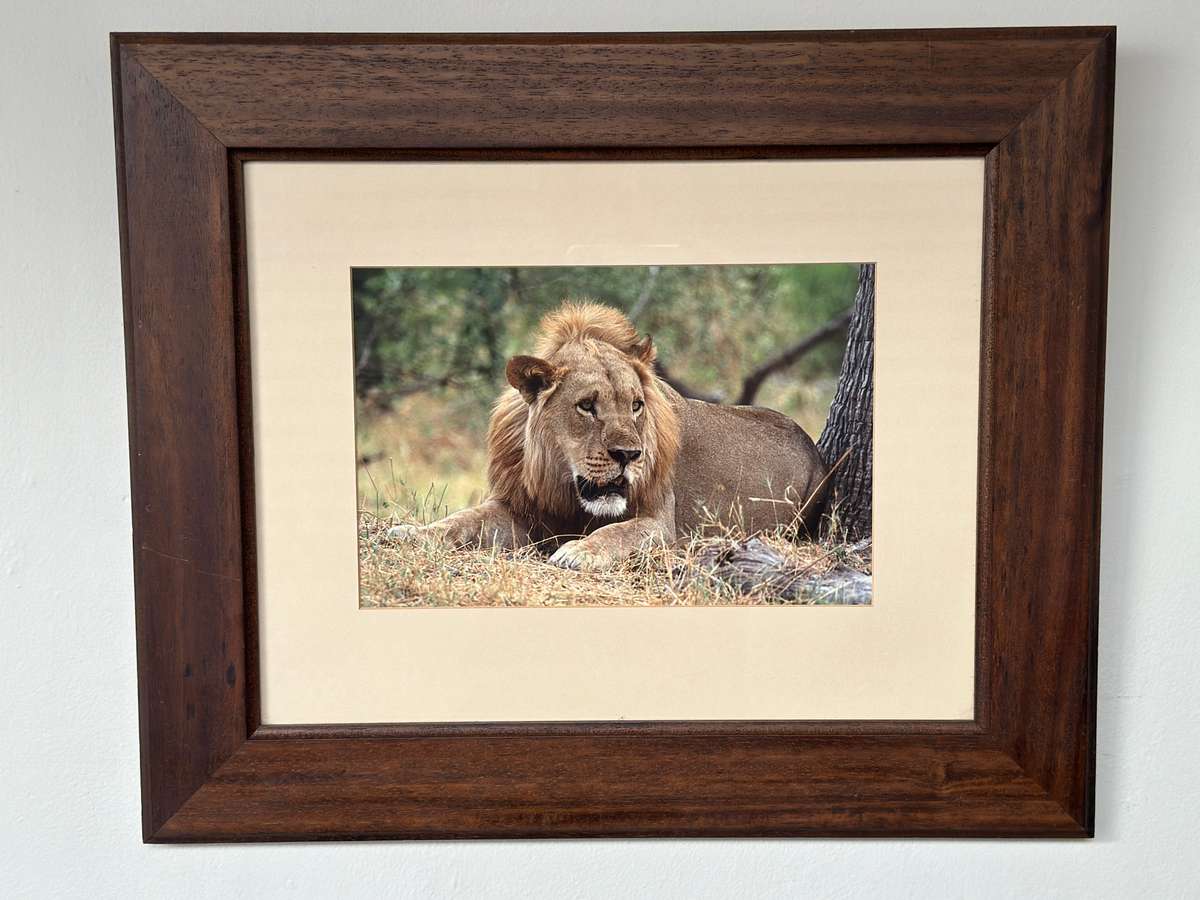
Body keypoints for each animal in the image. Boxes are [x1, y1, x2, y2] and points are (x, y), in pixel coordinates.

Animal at [389, 301, 830, 571]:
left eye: (636, 405)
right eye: (587, 406)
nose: (629, 455)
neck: (565, 487)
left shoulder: (660, 525)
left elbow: (616, 532)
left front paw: (578, 552)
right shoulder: (520, 508)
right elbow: (461, 520)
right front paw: (409, 532)